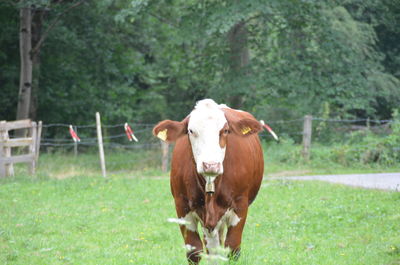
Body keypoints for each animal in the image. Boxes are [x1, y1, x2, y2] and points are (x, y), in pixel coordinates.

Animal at [152, 98, 262, 262]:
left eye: (225, 131)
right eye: (191, 131)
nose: (211, 165)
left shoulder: (240, 204)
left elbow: (232, 249)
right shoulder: (182, 205)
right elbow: (195, 251)